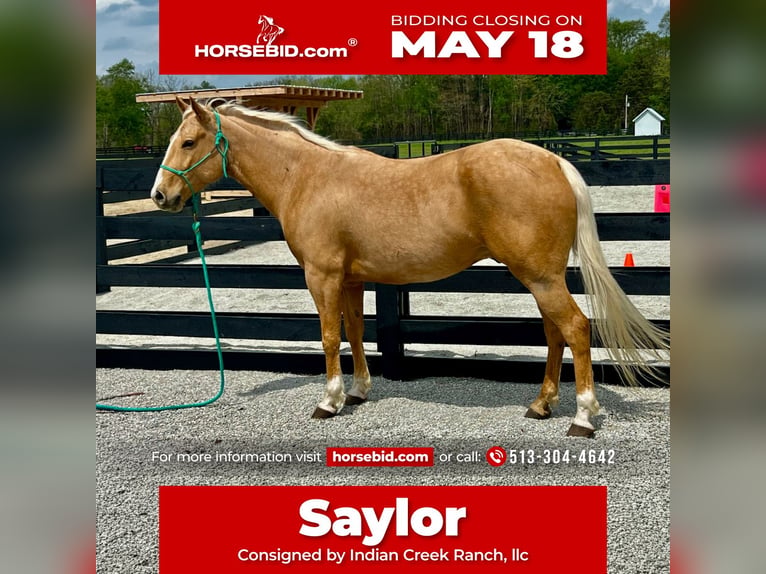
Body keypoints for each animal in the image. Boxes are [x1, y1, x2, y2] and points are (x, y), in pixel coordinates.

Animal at [151, 97, 669, 437]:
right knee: (554, 332)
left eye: (189, 142)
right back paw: (542, 405)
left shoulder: (322, 276)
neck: (306, 177)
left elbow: (329, 336)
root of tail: (553, 160)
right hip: (542, 278)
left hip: (541, 278)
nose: (160, 195)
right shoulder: (352, 279)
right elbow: (357, 331)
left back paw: (581, 417)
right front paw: (358, 391)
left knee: (576, 328)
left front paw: (329, 401)